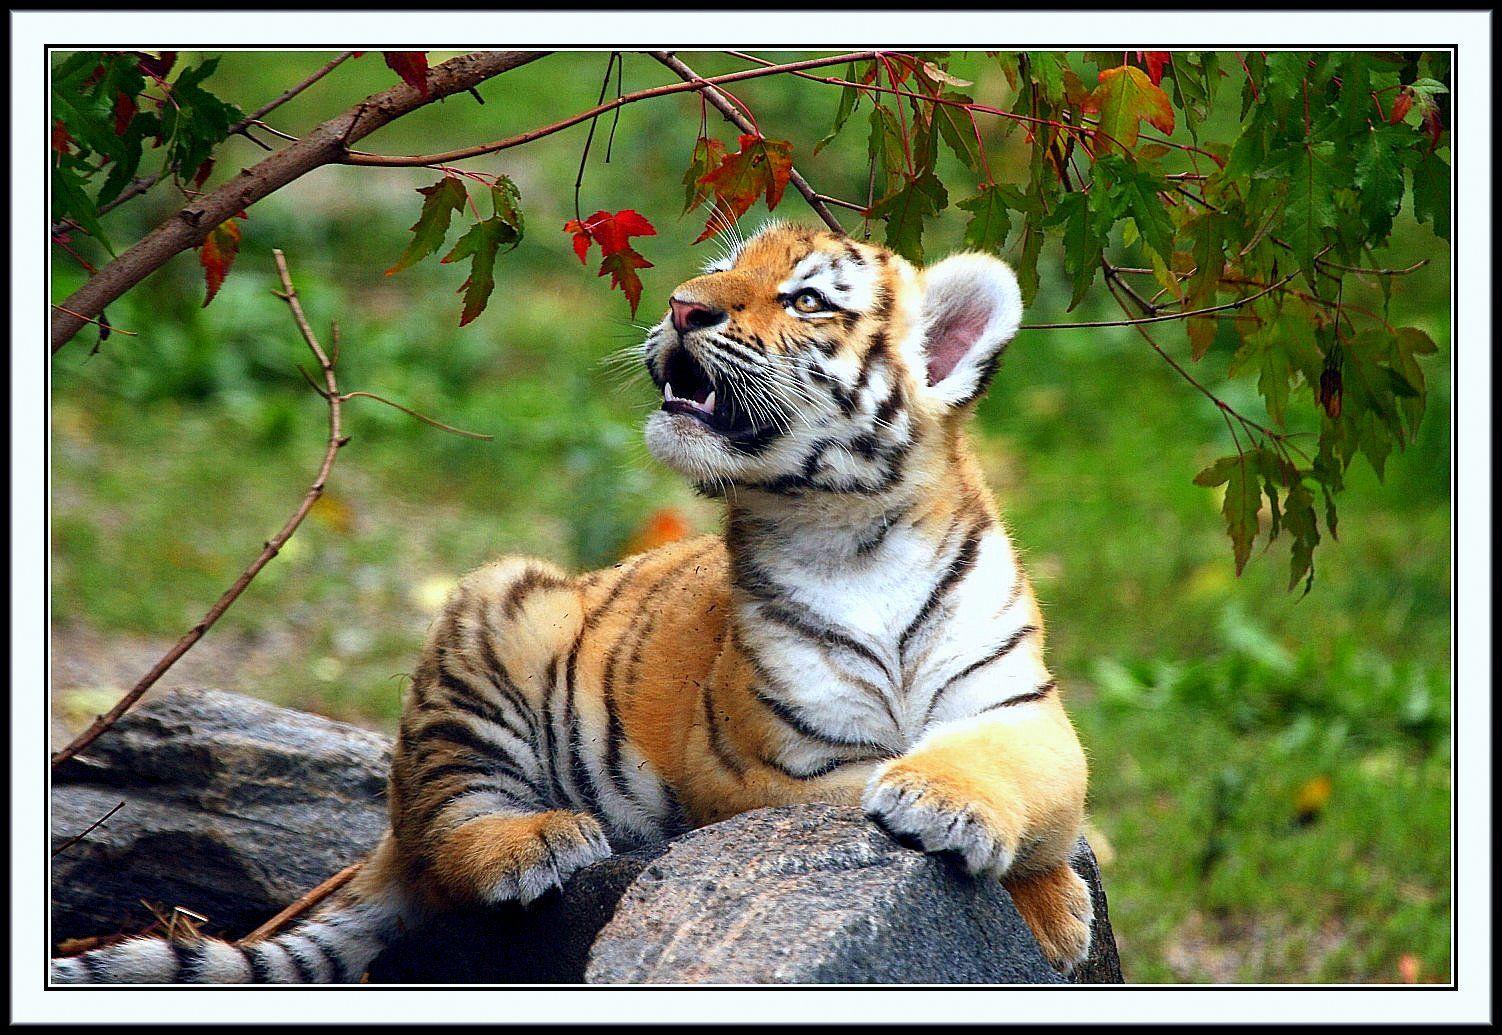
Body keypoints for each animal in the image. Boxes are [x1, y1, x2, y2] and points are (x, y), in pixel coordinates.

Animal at [51, 222, 1092, 985]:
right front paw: (1009, 871)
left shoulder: (1024, 710)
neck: (854, 533)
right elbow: (861, 786)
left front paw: (1033, 888)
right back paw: (539, 839)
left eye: (804, 299)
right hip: (494, 620)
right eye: (723, 267)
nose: (682, 304)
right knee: (445, 837)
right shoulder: (768, 765)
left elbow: (1031, 786)